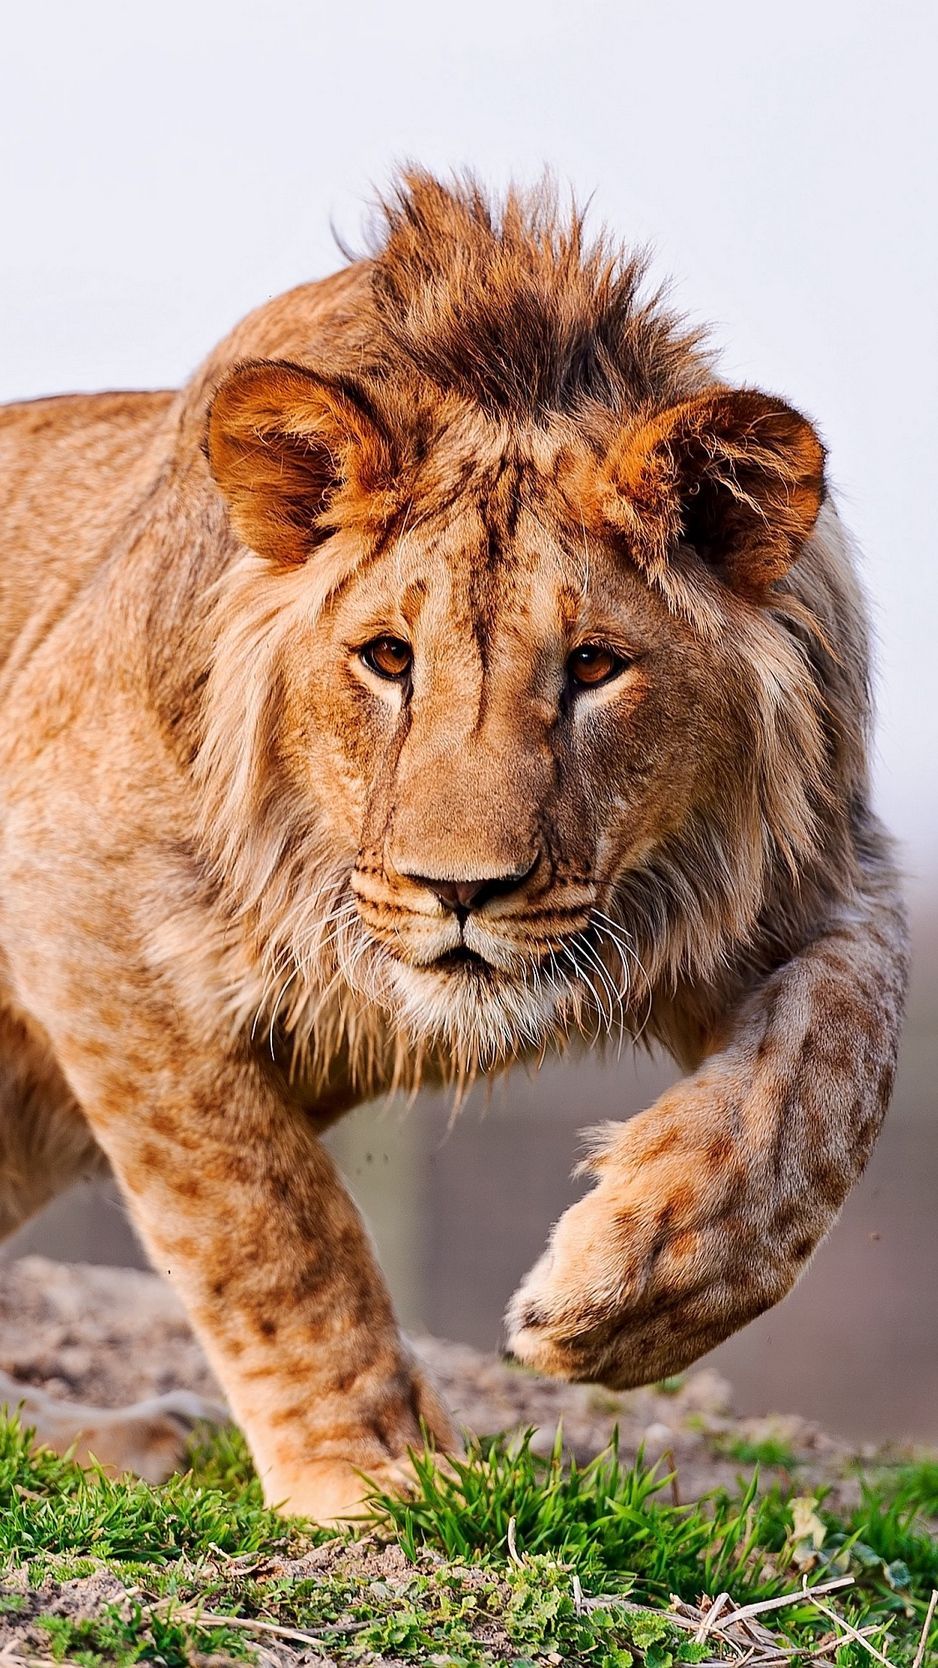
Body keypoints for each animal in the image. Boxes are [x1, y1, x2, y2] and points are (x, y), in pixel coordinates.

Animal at [0, 173, 908, 1520]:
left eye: (591, 666)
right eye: (387, 658)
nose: (461, 891)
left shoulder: (807, 876)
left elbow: (828, 1077)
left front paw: (631, 1292)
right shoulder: (73, 893)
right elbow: (264, 1218)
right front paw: (369, 1469)